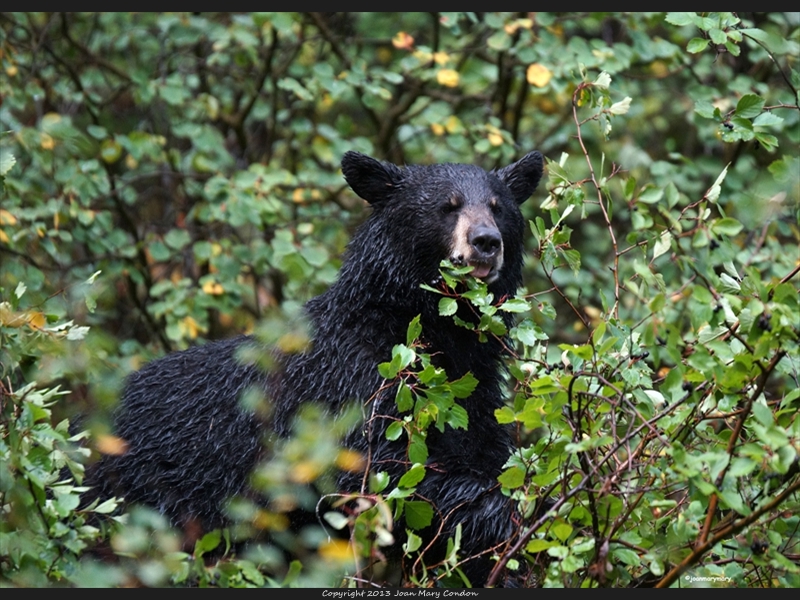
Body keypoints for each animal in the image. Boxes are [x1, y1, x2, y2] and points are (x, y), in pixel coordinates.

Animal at [86, 150, 544, 584]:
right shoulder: (354, 382)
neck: (434, 334)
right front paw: (511, 521)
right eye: (447, 206)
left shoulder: (474, 396)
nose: (486, 241)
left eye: (498, 207)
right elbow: (392, 472)